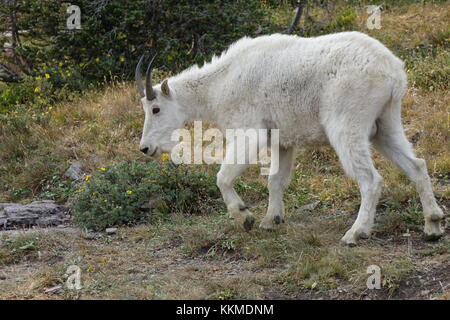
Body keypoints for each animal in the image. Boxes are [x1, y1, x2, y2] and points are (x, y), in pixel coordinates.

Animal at [135, 31, 444, 245]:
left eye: (156, 108)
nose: (145, 148)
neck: (219, 85)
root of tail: (392, 71)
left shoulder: (250, 131)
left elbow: (223, 177)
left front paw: (245, 217)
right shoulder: (282, 141)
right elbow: (276, 181)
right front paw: (271, 220)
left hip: (347, 124)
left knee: (370, 179)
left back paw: (355, 234)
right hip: (385, 123)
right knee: (416, 165)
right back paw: (433, 225)